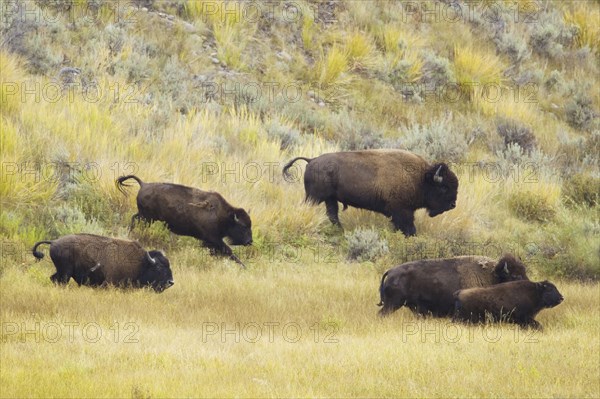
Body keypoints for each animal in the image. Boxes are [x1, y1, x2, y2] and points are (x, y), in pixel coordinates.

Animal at [31, 234, 173, 294]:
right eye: (159, 267)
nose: (171, 282)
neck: (142, 263)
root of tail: (54, 242)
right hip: (65, 272)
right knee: (61, 281)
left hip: (61, 271)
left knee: (53, 278)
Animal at [116, 175, 252, 268]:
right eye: (243, 226)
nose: (250, 241)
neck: (224, 215)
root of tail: (144, 184)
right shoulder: (213, 239)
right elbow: (229, 251)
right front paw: (244, 267)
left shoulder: (212, 241)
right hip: (147, 218)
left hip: (145, 216)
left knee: (134, 219)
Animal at [284, 150, 458, 238]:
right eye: (444, 187)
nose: (452, 205)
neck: (421, 178)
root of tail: (311, 160)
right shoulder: (402, 211)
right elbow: (408, 227)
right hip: (315, 197)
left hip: (329, 199)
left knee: (332, 214)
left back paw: (341, 230)